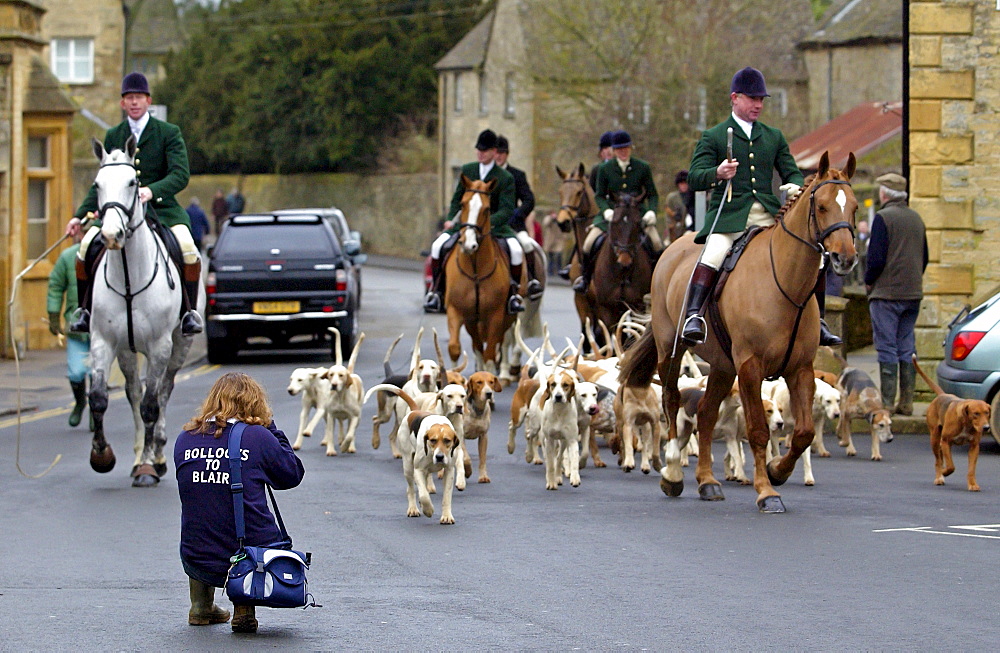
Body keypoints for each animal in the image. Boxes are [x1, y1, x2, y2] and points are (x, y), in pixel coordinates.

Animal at [450, 174, 520, 372]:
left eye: (487, 209)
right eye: (462, 204)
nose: (468, 244)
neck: (475, 270)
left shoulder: (496, 316)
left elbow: (490, 354)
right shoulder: (456, 311)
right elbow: (455, 348)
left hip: (507, 317)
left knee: (498, 344)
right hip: (473, 322)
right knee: (478, 346)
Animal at [616, 150, 860, 512]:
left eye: (854, 206)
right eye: (822, 206)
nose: (845, 258)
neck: (785, 282)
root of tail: (673, 247)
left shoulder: (800, 369)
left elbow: (803, 432)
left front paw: (777, 471)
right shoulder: (750, 367)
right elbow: (758, 430)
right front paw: (767, 492)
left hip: (721, 365)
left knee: (705, 414)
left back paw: (707, 482)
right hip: (671, 352)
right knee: (672, 401)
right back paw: (673, 472)